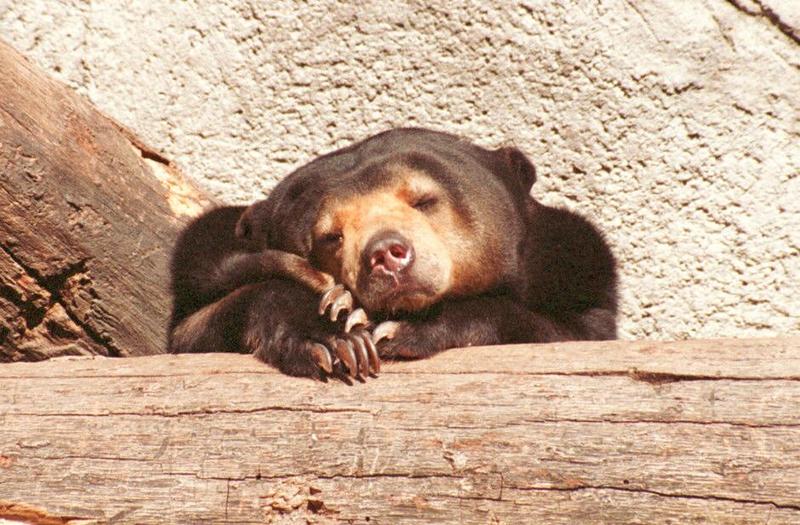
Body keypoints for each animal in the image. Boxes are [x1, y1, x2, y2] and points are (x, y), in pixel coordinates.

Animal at [169, 127, 620, 380]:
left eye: (423, 200)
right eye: (330, 237)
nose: (386, 253)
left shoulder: (574, 268)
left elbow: (569, 331)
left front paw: (401, 330)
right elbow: (194, 330)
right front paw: (338, 334)